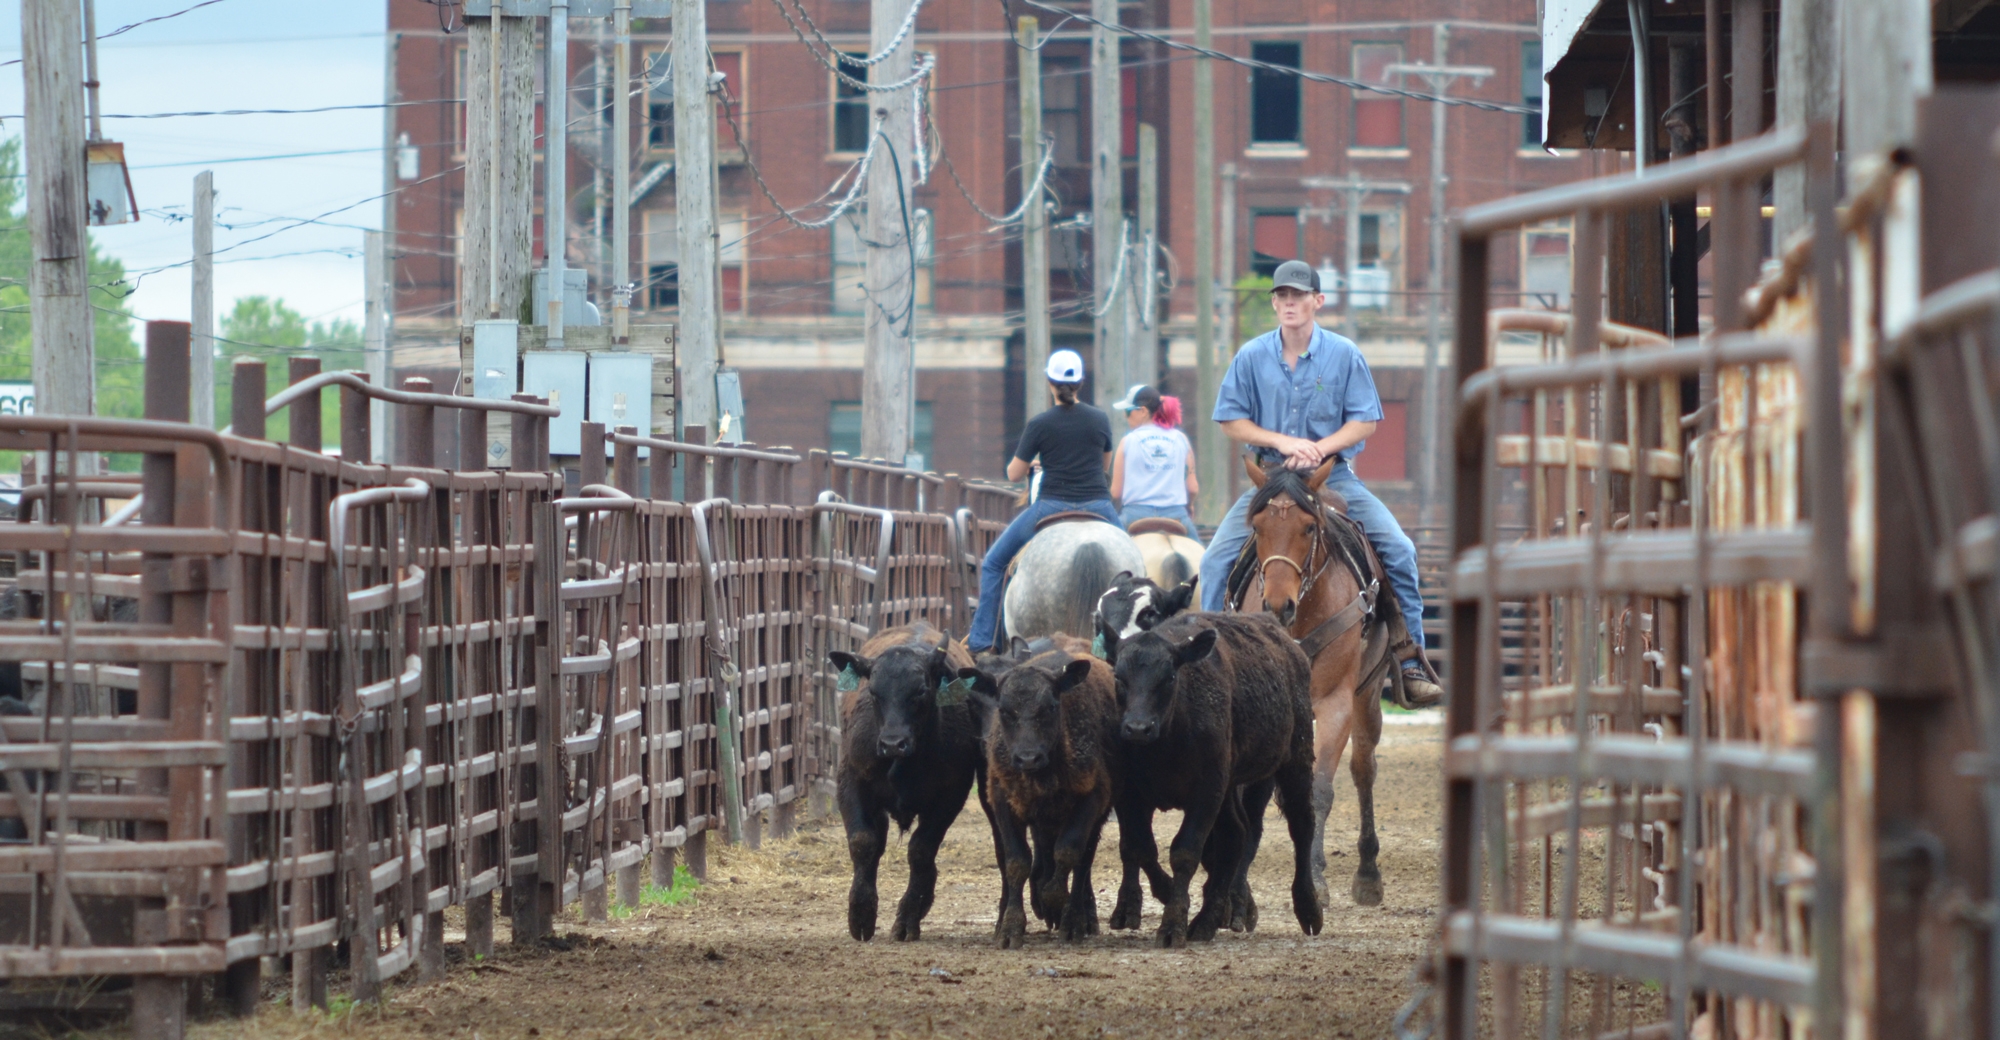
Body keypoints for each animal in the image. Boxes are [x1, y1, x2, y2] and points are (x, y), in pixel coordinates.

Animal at [1224, 458, 1400, 912]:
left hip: (1368, 697)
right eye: (1257, 526)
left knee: (1363, 770)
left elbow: (1320, 790)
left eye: (1308, 527)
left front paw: (1315, 880)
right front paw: (1239, 889)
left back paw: (1368, 874)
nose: (1278, 605)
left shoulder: (1336, 703)